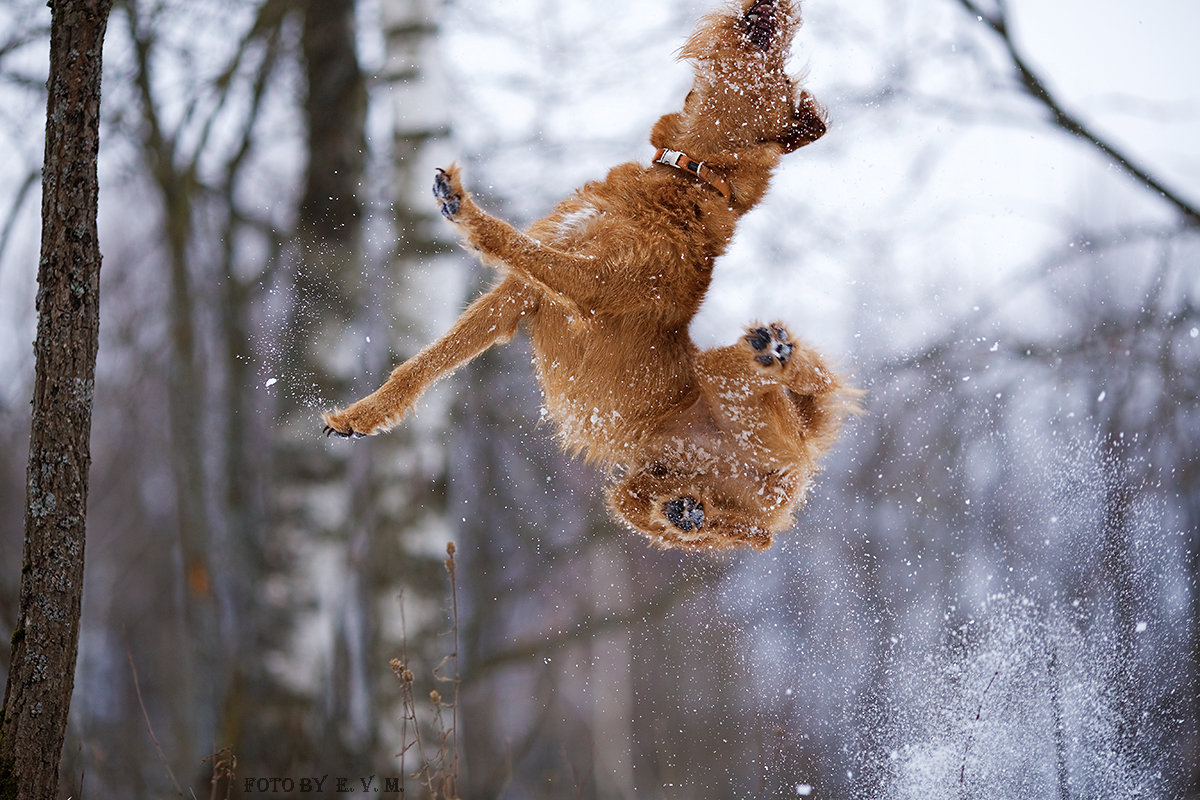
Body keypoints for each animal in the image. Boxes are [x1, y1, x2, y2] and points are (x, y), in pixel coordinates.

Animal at [324, 0, 859, 551]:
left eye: (779, 73)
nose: (777, 7)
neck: (688, 180)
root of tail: (801, 456)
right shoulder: (518, 295)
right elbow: (430, 360)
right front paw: (362, 415)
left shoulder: (592, 285)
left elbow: (517, 245)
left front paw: (466, 210)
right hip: (641, 489)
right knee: (736, 530)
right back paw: (686, 510)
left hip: (727, 385)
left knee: (768, 505)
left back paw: (777, 352)